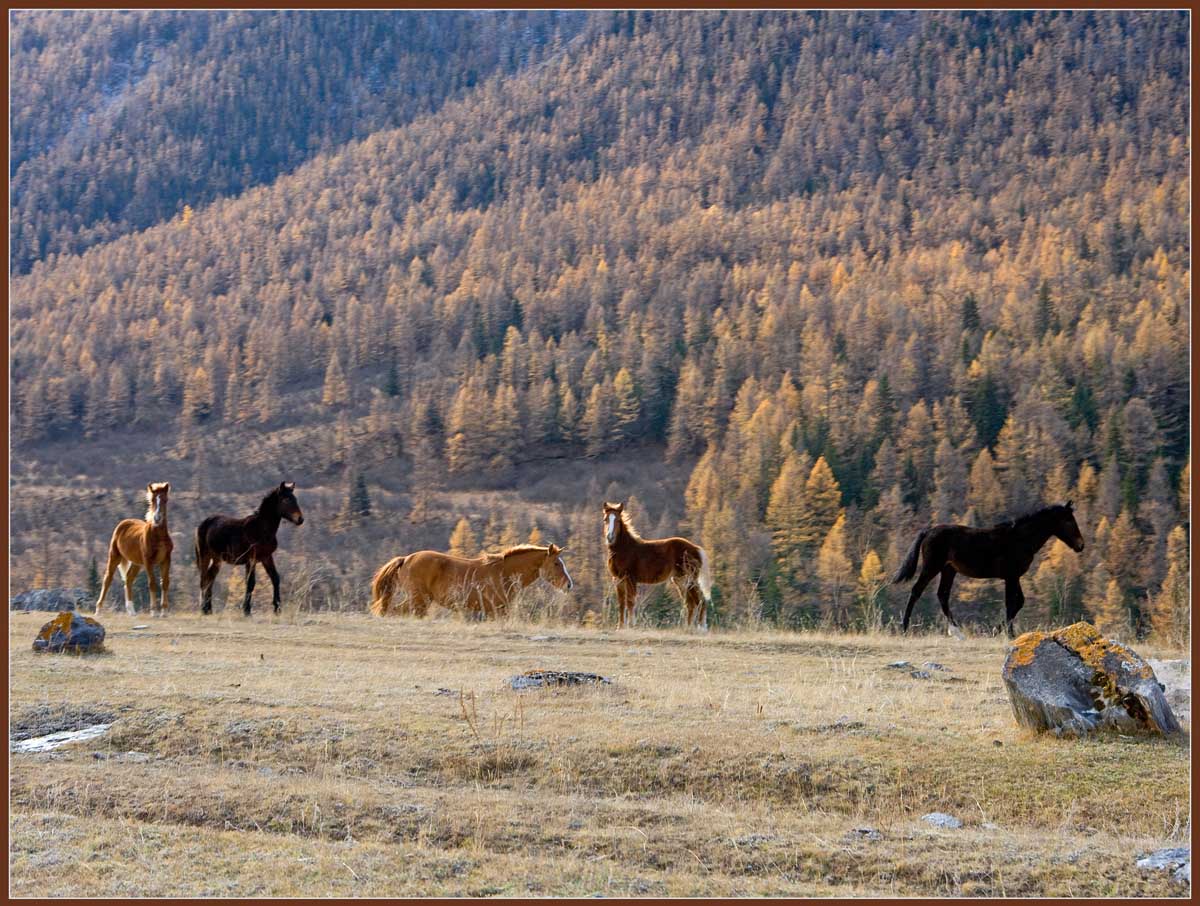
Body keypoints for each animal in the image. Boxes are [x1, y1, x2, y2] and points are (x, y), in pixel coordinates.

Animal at [94, 482, 174, 614]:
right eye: (152, 500)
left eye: (165, 500)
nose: (157, 518)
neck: (158, 536)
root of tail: (123, 523)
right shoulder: (148, 561)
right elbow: (152, 583)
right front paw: (154, 612)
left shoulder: (166, 559)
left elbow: (165, 582)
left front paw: (164, 612)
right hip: (115, 556)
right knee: (107, 579)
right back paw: (99, 610)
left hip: (137, 563)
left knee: (128, 579)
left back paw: (131, 611)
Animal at [192, 482, 304, 614]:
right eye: (286, 500)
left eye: (295, 499)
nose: (300, 519)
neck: (261, 529)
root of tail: (203, 523)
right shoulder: (251, 559)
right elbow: (250, 583)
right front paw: (246, 610)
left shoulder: (266, 557)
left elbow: (275, 578)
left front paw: (277, 608)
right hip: (205, 555)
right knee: (203, 580)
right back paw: (203, 609)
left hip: (217, 559)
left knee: (210, 579)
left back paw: (209, 609)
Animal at [367, 542, 573, 619]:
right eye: (556, 563)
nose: (569, 584)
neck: (504, 573)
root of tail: (406, 559)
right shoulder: (497, 611)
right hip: (419, 600)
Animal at [892, 504, 1089, 638]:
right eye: (1069, 520)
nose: (1080, 545)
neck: (1020, 539)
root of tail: (928, 531)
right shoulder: (1010, 576)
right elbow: (1011, 603)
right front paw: (1009, 634)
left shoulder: (1014, 577)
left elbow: (1019, 602)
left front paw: (996, 630)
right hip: (932, 566)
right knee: (917, 591)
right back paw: (905, 628)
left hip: (949, 570)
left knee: (942, 595)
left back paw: (957, 632)